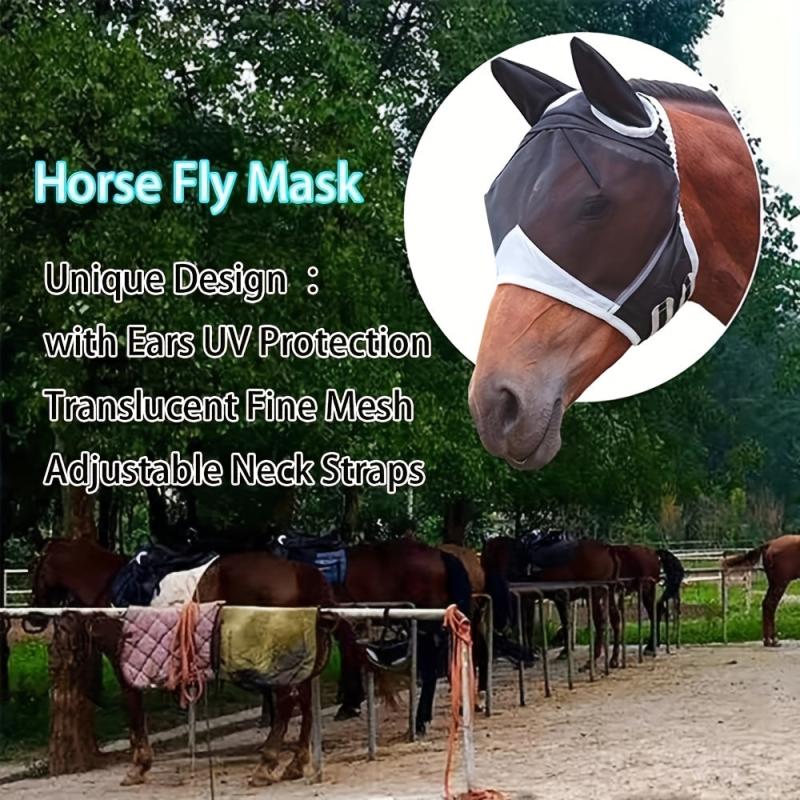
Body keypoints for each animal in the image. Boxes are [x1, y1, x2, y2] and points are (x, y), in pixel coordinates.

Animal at [30, 537, 366, 787]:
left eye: (36, 566)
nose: (33, 618)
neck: (109, 587)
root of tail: (298, 571)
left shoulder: (123, 663)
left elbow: (134, 710)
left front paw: (138, 766)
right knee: (305, 702)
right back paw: (295, 764)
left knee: (286, 702)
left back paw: (266, 765)